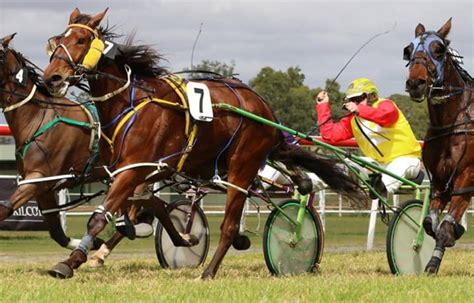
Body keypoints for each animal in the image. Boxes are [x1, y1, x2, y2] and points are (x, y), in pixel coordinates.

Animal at [42, 7, 364, 280]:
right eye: (57, 40)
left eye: (81, 39)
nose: (52, 78)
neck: (131, 103)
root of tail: (265, 109)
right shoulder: (137, 170)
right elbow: (150, 208)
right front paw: (180, 236)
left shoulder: (133, 169)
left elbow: (99, 217)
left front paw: (70, 262)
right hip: (210, 164)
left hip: (242, 166)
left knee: (230, 224)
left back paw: (210, 271)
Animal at [404, 18, 474, 276]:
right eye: (408, 50)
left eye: (439, 49)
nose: (416, 83)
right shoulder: (440, 180)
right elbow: (429, 223)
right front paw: (456, 231)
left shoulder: (466, 177)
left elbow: (444, 227)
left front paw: (433, 264)